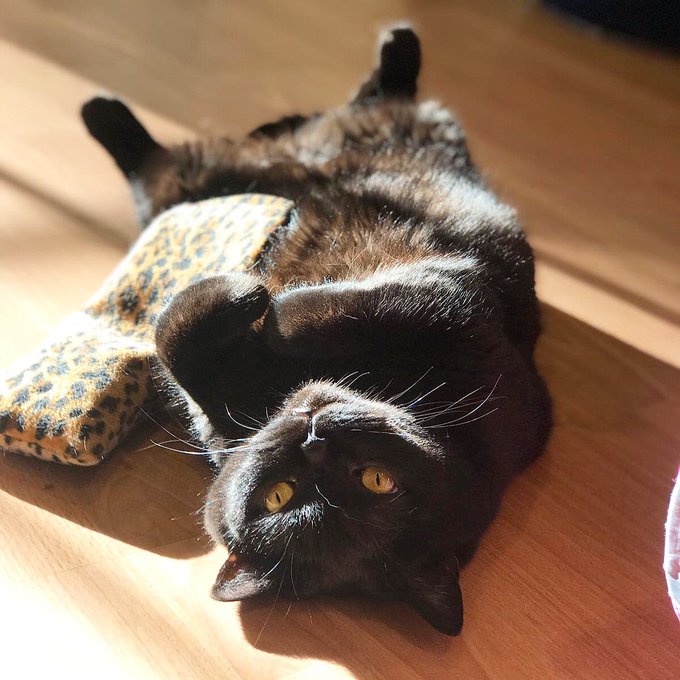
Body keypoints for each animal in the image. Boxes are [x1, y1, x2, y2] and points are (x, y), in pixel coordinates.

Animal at [81, 27, 552, 635]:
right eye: (277, 496)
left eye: (377, 480)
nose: (313, 440)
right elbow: (236, 338)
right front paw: (257, 298)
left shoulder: (451, 297)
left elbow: (222, 328)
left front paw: (255, 296)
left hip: (199, 178)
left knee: (158, 163)